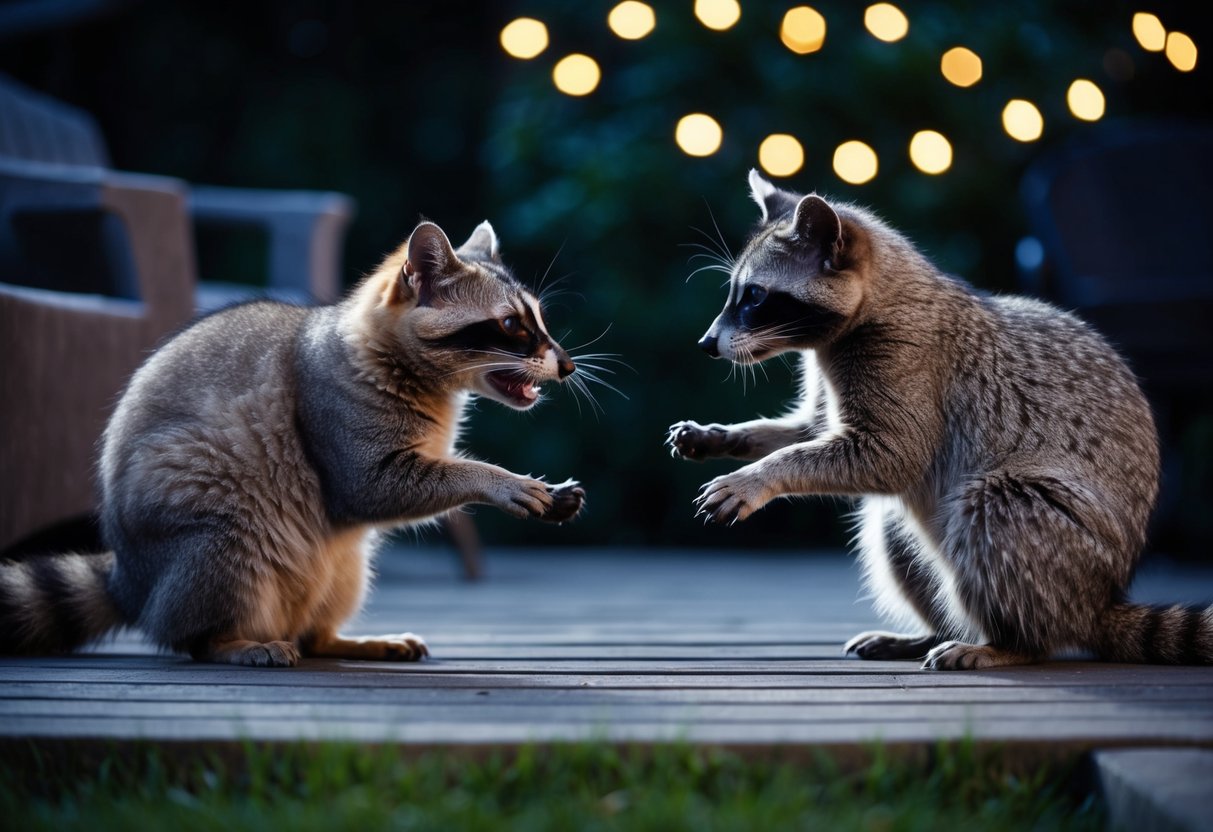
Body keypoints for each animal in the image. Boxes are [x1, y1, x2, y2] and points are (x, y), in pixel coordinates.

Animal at [0, 219, 585, 666]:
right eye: (510, 325)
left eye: (538, 320)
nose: (568, 364)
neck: (431, 380)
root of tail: (132, 578)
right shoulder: (333, 413)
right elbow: (375, 489)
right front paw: (496, 479)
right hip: (206, 520)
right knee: (212, 575)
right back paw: (222, 641)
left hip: (341, 564)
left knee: (330, 598)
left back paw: (335, 638)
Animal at [668, 170, 1212, 670]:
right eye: (738, 292)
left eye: (756, 297)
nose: (706, 344)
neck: (879, 298)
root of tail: (1099, 602)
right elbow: (811, 430)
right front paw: (730, 437)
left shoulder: (907, 361)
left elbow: (892, 456)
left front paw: (762, 475)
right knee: (892, 530)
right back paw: (933, 632)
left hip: (1059, 537)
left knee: (993, 511)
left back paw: (1011, 644)